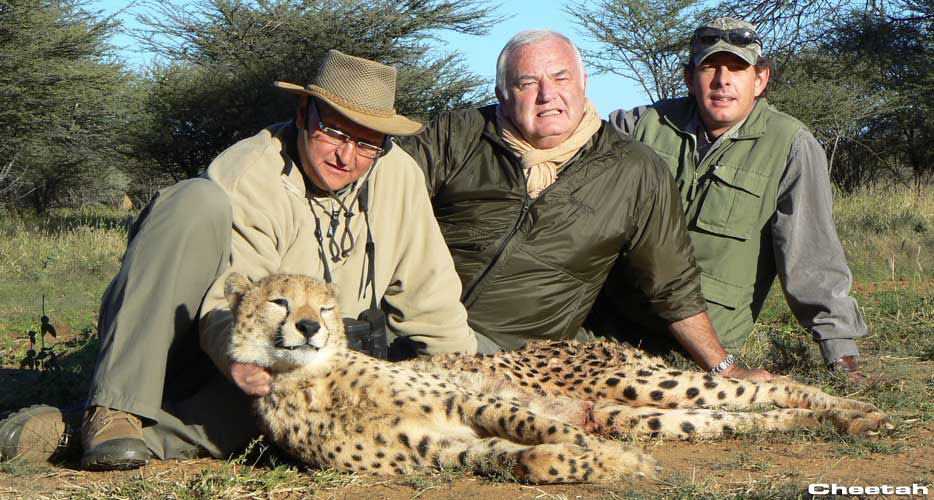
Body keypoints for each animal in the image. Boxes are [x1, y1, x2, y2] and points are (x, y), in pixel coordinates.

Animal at [224, 272, 888, 484]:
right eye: (279, 301)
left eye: (324, 306)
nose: (310, 326)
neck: (314, 382)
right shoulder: (440, 451)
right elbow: (526, 459)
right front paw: (602, 463)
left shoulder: (470, 405)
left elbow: (537, 431)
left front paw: (611, 463)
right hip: (639, 410)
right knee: (733, 418)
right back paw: (835, 420)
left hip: (639, 385)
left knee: (760, 388)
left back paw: (856, 408)